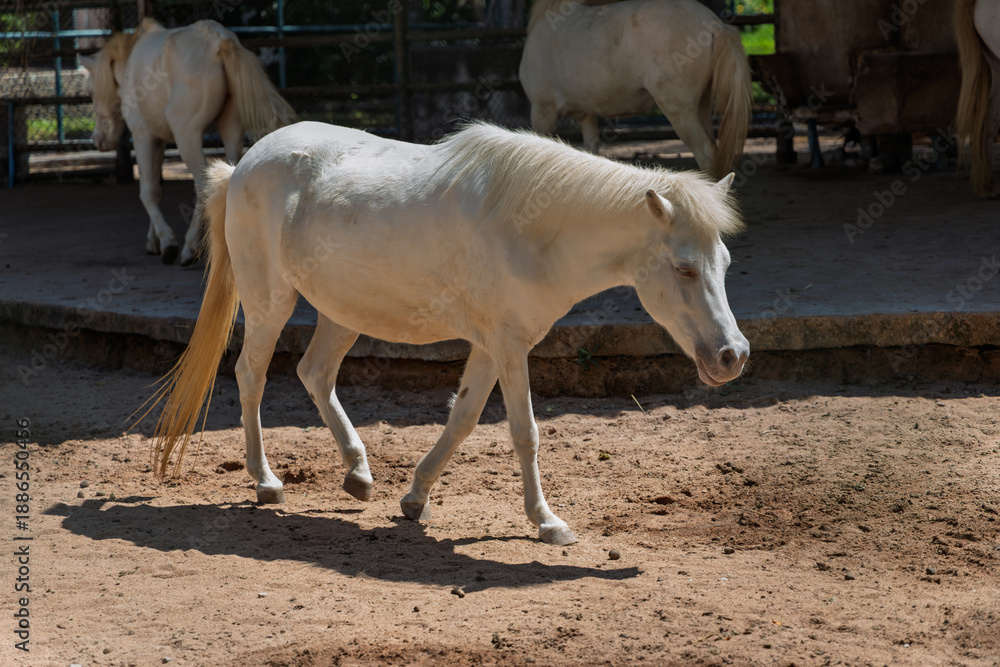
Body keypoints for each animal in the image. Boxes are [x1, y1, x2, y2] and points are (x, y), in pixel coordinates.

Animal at [80, 18, 295, 265]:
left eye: (91, 92)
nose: (98, 140)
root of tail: (218, 40)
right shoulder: (159, 141)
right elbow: (156, 187)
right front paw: (152, 241)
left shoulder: (143, 137)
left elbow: (148, 191)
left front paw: (167, 242)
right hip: (230, 128)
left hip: (187, 137)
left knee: (203, 184)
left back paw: (189, 248)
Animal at [144, 121, 749, 546]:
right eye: (685, 269)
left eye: (724, 262)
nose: (732, 356)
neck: (533, 230)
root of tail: (243, 166)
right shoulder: (509, 347)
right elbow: (524, 433)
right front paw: (547, 521)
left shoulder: (490, 347)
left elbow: (462, 420)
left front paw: (414, 498)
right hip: (270, 302)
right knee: (252, 375)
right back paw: (266, 481)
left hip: (342, 314)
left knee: (314, 374)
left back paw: (358, 473)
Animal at [519, 0, 752, 179]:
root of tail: (714, 24)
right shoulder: (587, 116)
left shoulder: (543, 111)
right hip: (702, 107)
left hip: (679, 111)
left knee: (706, 154)